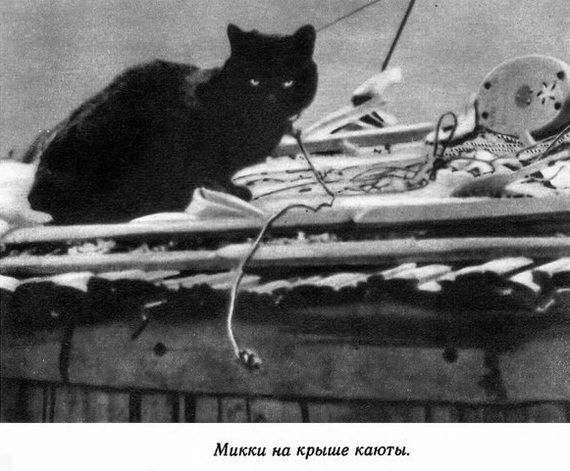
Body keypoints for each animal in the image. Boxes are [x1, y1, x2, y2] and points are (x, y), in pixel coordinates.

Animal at [28, 24, 318, 225]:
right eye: (254, 81)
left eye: (288, 82)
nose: (271, 98)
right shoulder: (198, 150)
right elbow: (215, 174)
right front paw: (233, 192)